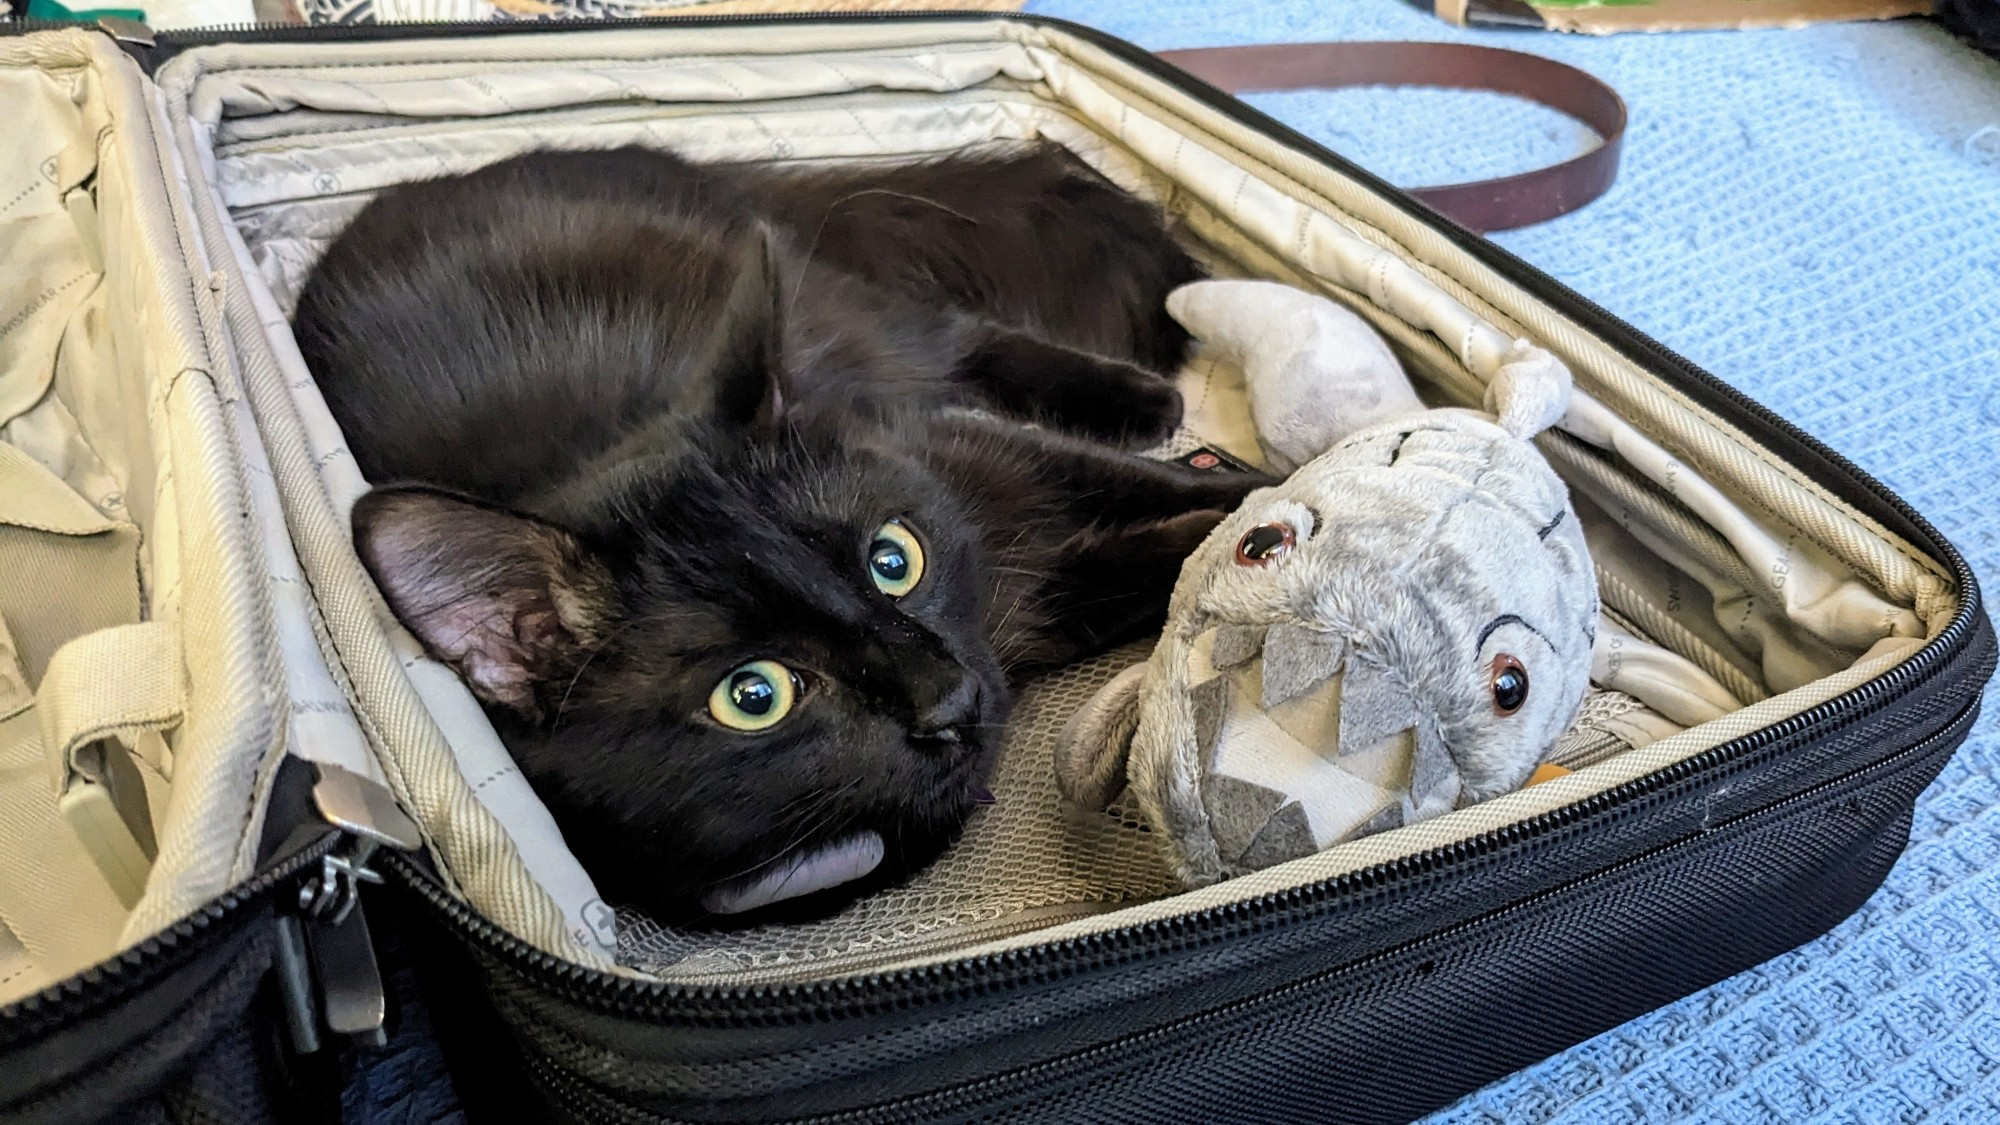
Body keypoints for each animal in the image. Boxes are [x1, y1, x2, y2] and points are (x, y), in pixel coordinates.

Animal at [296, 144, 1264, 920]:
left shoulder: (951, 447)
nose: (948, 697)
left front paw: (1274, 488)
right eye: (753, 695)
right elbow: (1130, 568)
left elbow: (1156, 492)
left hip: (840, 306)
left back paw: (1145, 400)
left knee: (960, 338)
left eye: (892, 560)